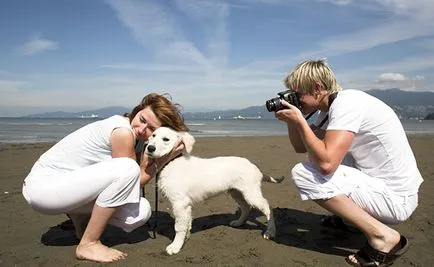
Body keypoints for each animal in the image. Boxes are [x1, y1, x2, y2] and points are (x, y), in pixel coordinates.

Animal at [146, 127, 282, 255]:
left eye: (166, 139)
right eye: (153, 135)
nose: (149, 148)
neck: (171, 162)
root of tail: (254, 167)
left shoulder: (180, 204)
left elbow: (179, 227)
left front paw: (175, 246)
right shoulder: (186, 206)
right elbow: (187, 223)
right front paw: (185, 238)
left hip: (251, 193)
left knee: (268, 207)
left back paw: (270, 231)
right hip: (236, 193)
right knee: (246, 208)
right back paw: (239, 222)